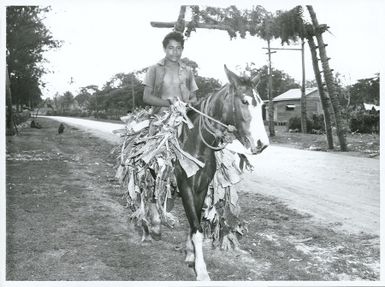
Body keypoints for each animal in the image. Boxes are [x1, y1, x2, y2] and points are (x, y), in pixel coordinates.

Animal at [172, 65, 270, 282]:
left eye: (261, 104)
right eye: (244, 101)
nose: (262, 144)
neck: (196, 145)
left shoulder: (200, 189)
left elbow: (194, 224)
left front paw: (190, 254)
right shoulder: (186, 187)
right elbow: (198, 230)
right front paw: (201, 271)